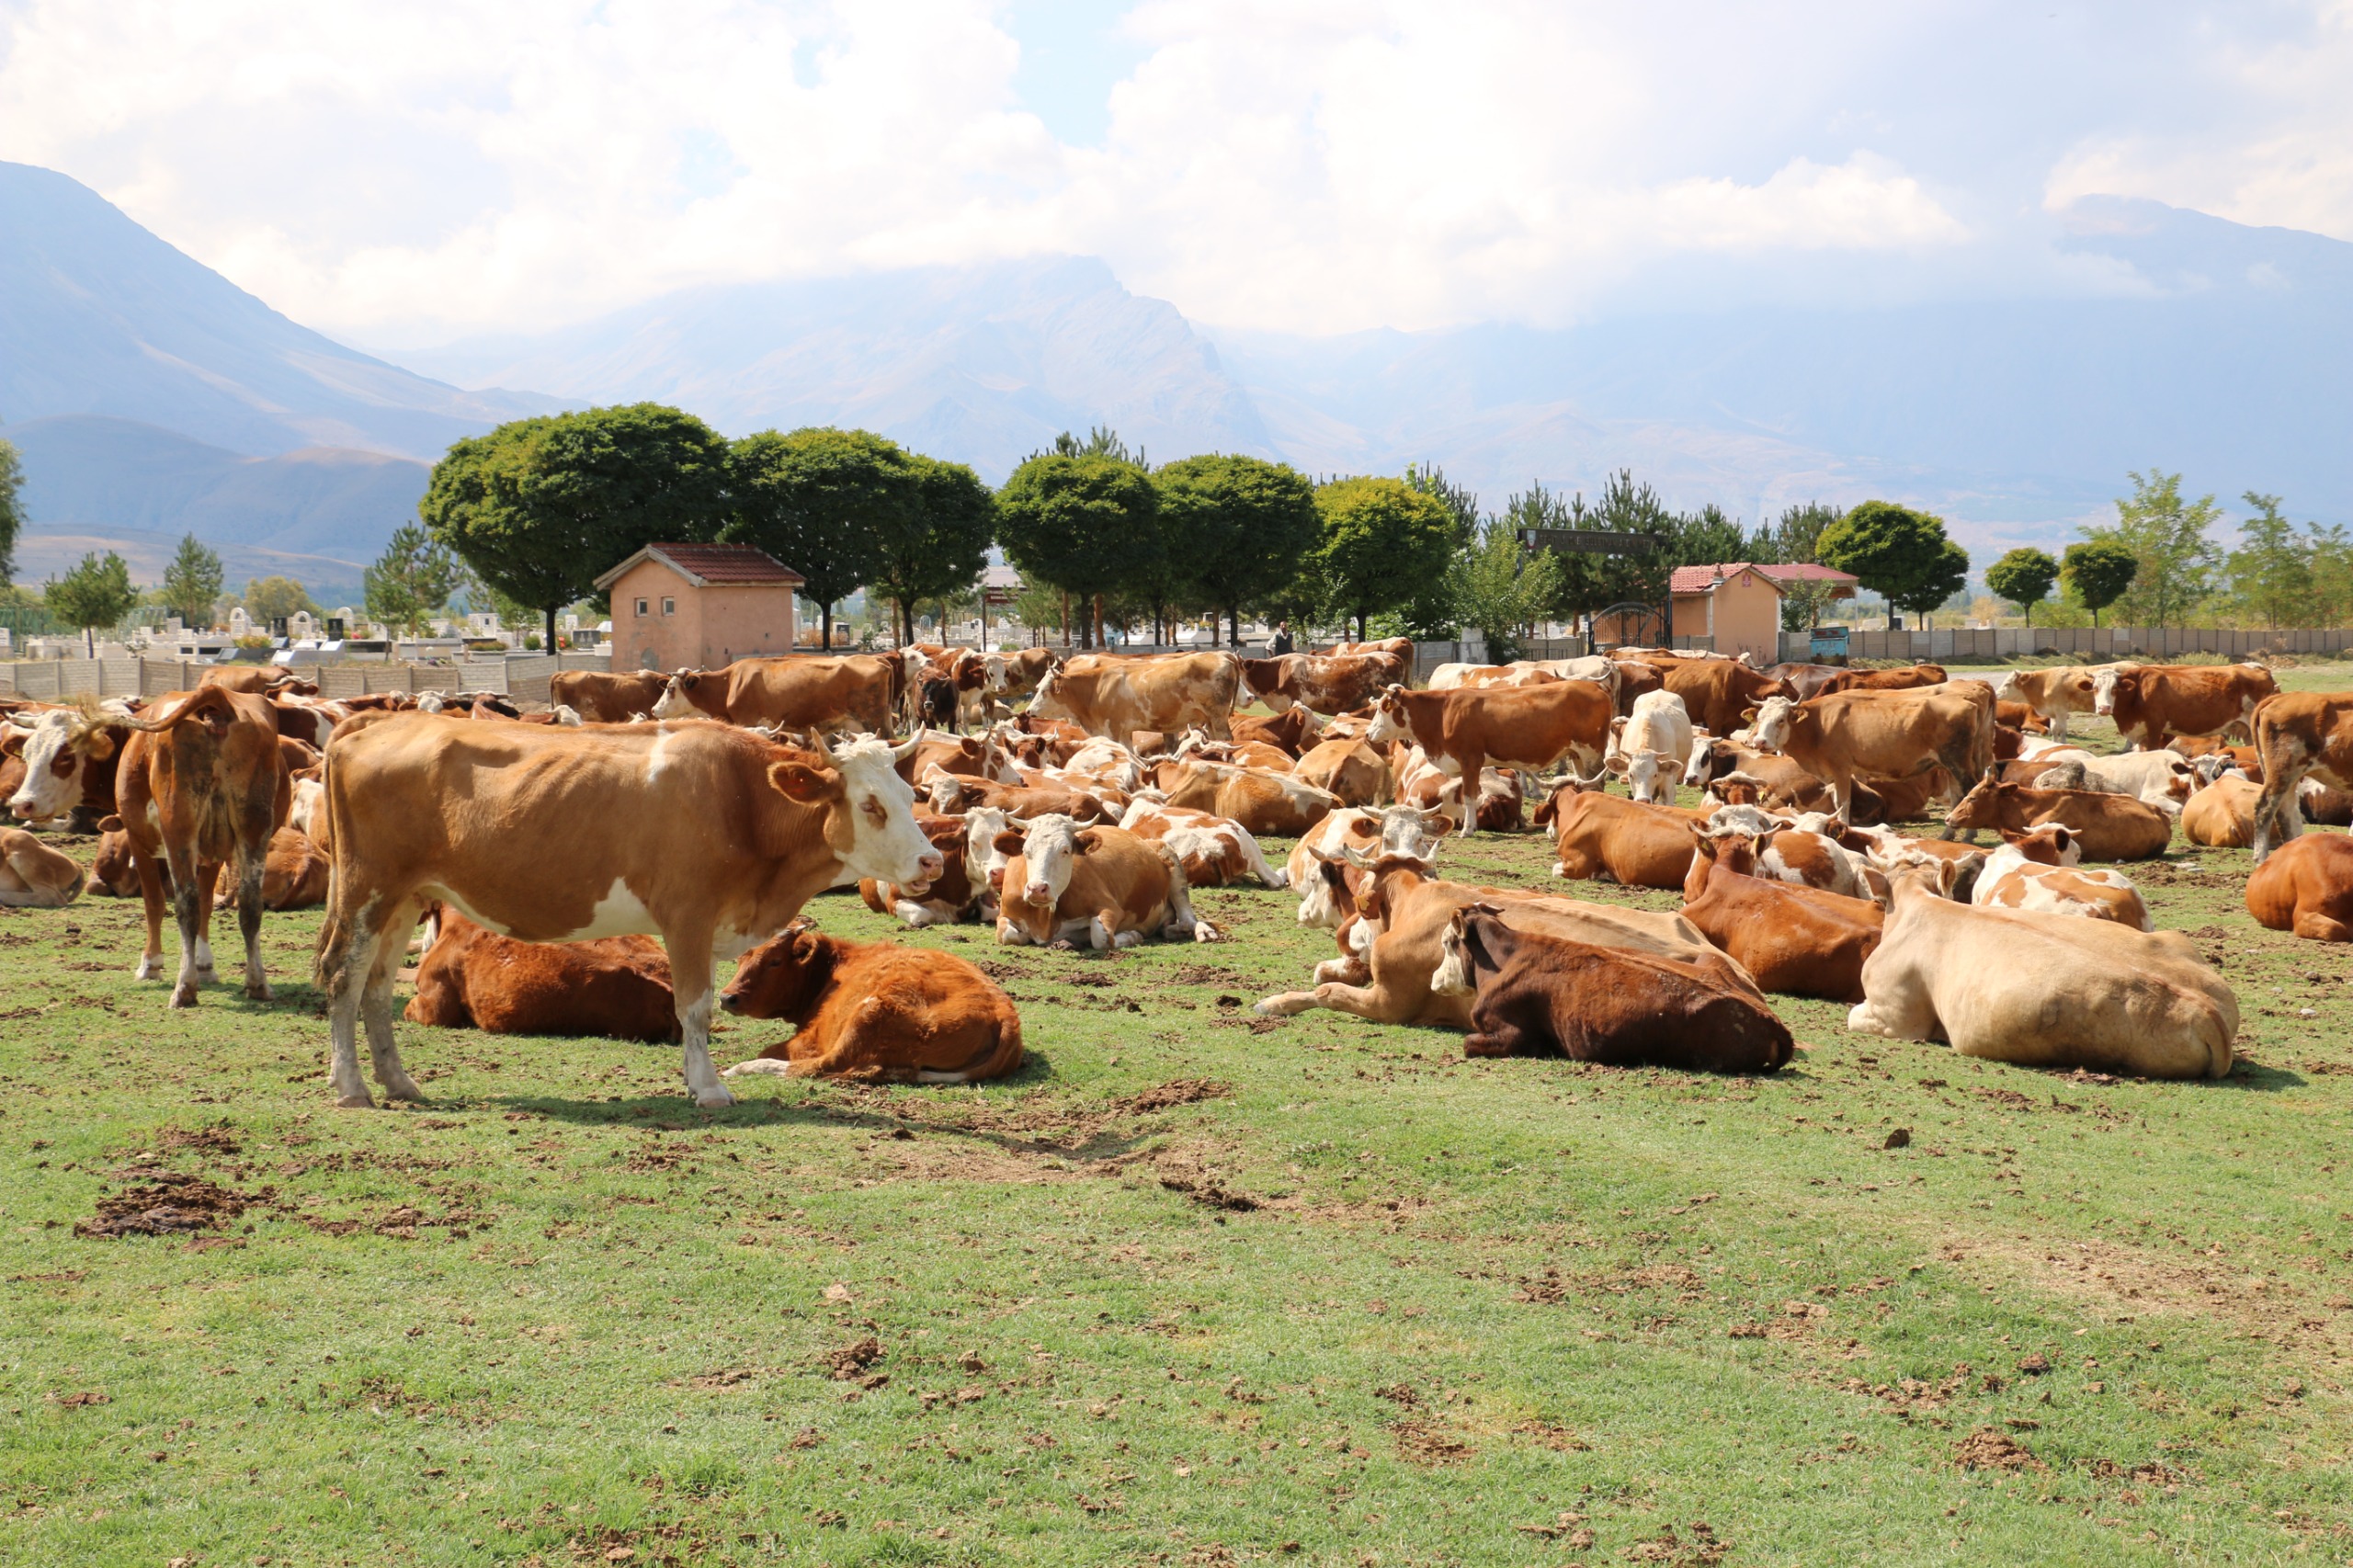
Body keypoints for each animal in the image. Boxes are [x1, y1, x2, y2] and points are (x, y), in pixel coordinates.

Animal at [315, 715, 936, 1106]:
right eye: (870, 805)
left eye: (910, 797)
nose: (930, 861)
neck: (743, 803)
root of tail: (370, 726)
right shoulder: (688, 917)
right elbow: (695, 1008)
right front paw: (707, 1088)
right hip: (366, 891)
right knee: (344, 978)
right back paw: (352, 1088)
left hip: (405, 898)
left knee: (375, 988)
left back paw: (399, 1082)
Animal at [720, 923, 1026, 1083]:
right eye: (740, 957)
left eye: (774, 961)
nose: (726, 997)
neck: (833, 968)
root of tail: (1005, 1013)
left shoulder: (809, 1040)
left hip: (868, 1013)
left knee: (820, 1066)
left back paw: (741, 1068)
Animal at [1439, 903, 1788, 1074]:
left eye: (1446, 942)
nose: (1435, 979)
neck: (1504, 957)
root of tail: (1772, 1022)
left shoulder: (1517, 1036)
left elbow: (1469, 1043)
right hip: (1711, 961)